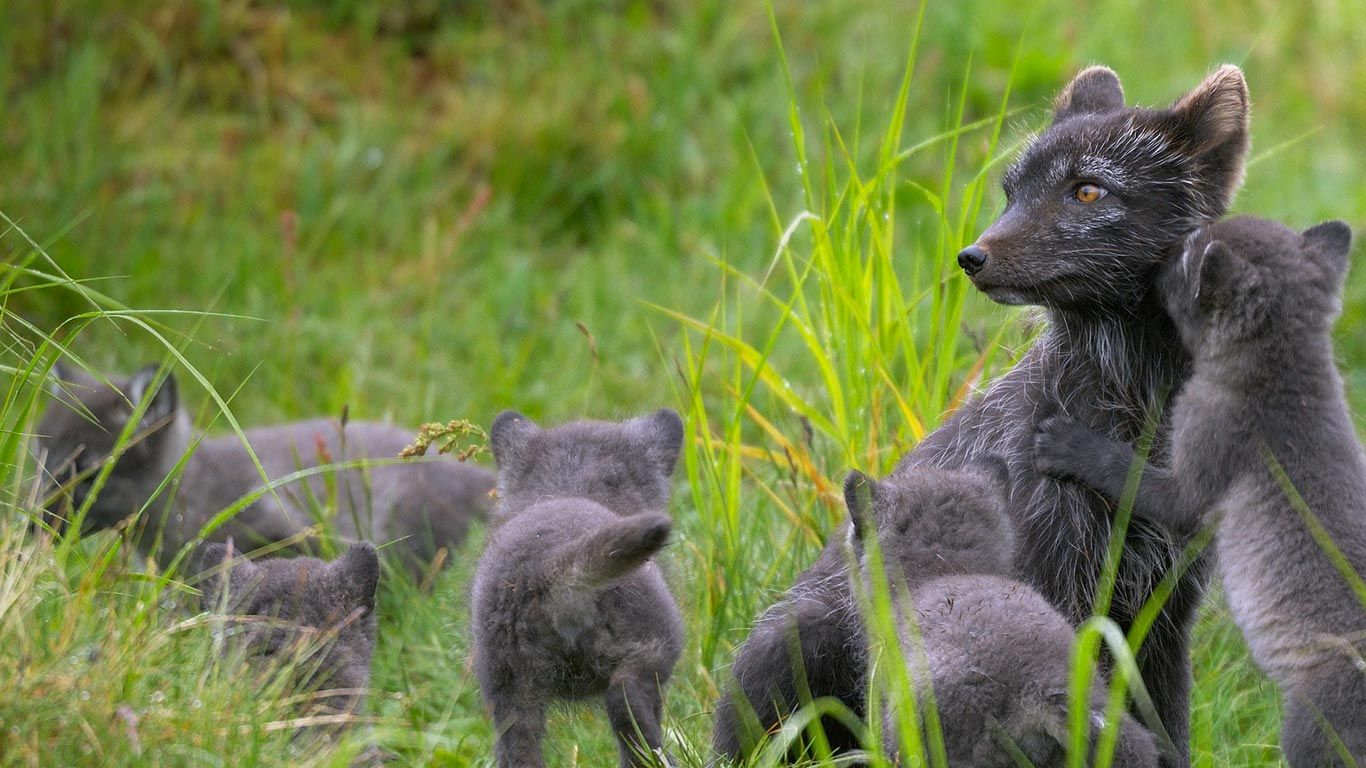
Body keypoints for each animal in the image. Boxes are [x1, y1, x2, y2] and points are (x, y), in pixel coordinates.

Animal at [472, 409, 686, 768]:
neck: (571, 487)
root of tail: (553, 562)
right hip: (655, 651)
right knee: (626, 707)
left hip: (510, 693)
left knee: (518, 753)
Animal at [1033, 216, 1366, 766]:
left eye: (1185, 256)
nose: (1158, 259)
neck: (1287, 376)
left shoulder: (1188, 489)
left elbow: (1124, 469)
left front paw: (1066, 443)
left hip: (1306, 732)